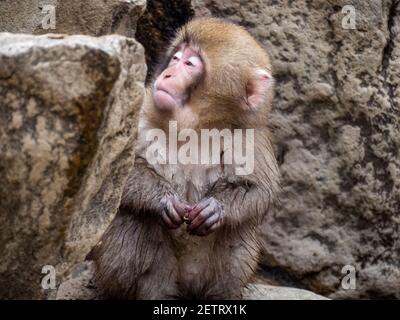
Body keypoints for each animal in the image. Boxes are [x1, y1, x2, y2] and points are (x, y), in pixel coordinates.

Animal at [90, 16, 280, 298]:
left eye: (189, 64)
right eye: (176, 58)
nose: (167, 73)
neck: (195, 127)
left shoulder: (250, 137)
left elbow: (260, 189)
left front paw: (215, 208)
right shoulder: (139, 109)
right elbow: (110, 178)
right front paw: (163, 200)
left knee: (237, 233)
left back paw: (221, 294)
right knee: (135, 220)